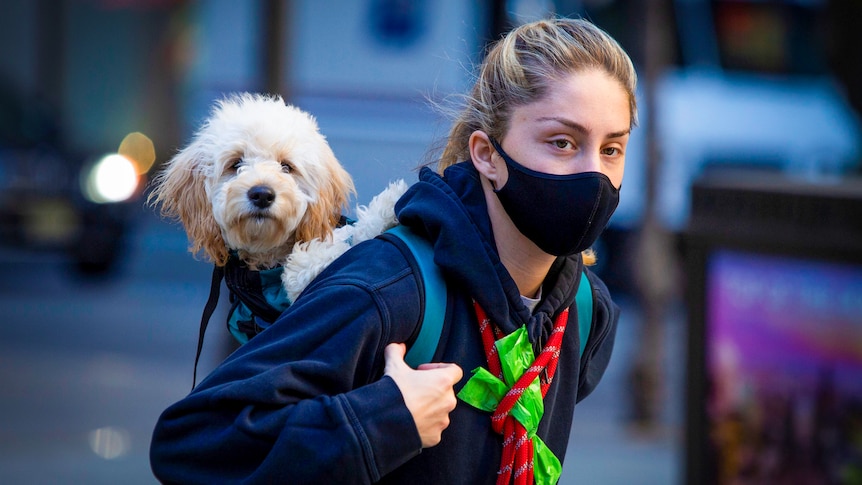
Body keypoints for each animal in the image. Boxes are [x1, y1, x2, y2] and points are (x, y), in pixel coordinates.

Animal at [150, 92, 406, 300]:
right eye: (235, 164)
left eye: (286, 166)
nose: (262, 195)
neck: (270, 255)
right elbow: (299, 270)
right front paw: (326, 254)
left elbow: (354, 233)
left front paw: (387, 205)